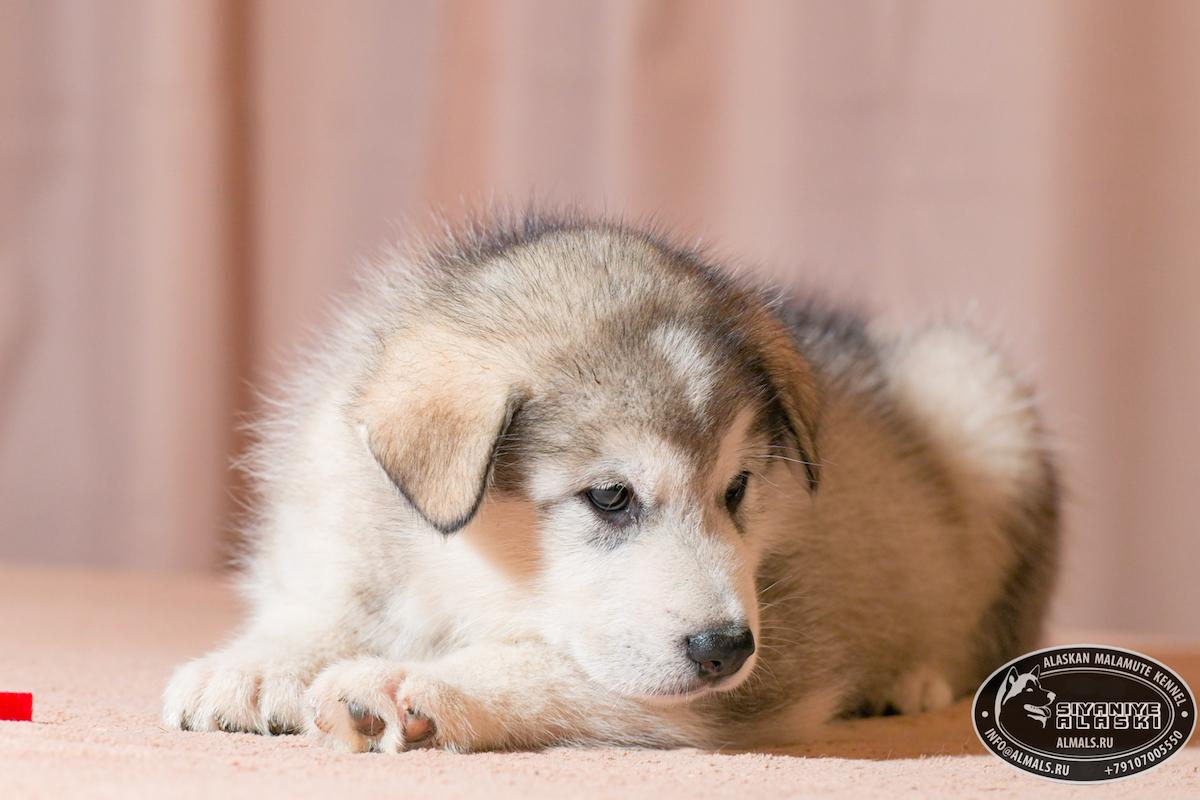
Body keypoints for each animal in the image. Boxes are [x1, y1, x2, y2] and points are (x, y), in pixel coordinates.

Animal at [162, 212, 1060, 753]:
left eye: (738, 489)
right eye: (611, 496)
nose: (725, 647)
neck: (455, 570)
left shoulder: (767, 665)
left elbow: (552, 671)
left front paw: (410, 682)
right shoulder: (338, 529)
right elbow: (321, 608)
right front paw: (259, 665)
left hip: (975, 391)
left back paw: (910, 679)